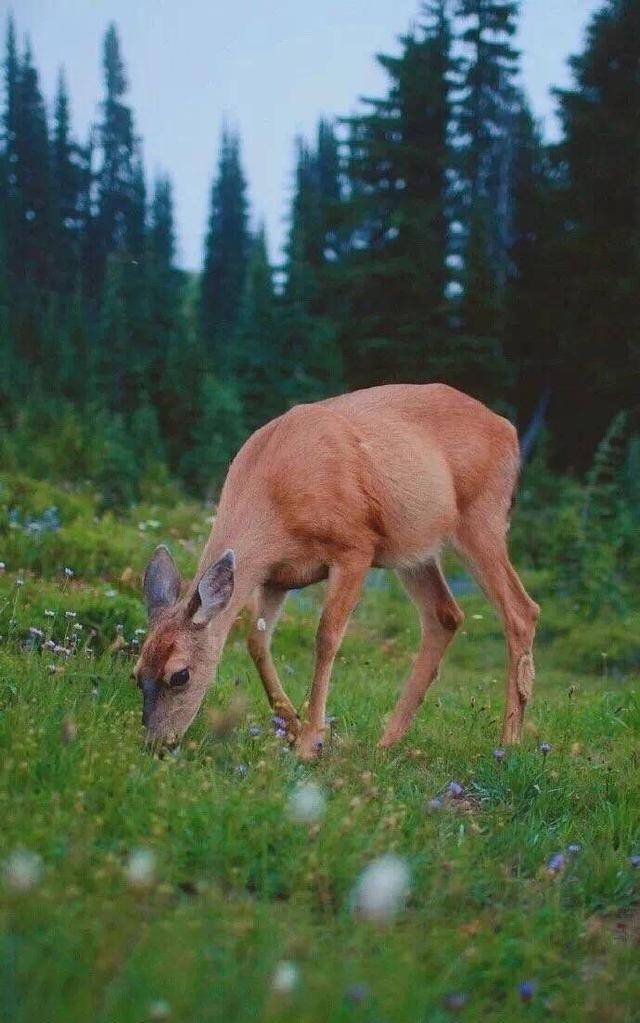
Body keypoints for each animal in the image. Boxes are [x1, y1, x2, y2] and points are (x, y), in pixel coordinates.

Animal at [134, 384, 539, 761]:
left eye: (180, 675)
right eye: (136, 674)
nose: (156, 745)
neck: (276, 496)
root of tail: (508, 429)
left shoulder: (355, 547)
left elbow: (326, 637)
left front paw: (311, 741)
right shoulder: (276, 577)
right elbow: (256, 641)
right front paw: (292, 725)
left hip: (481, 516)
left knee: (522, 610)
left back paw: (508, 743)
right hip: (413, 549)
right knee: (446, 615)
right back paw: (387, 741)